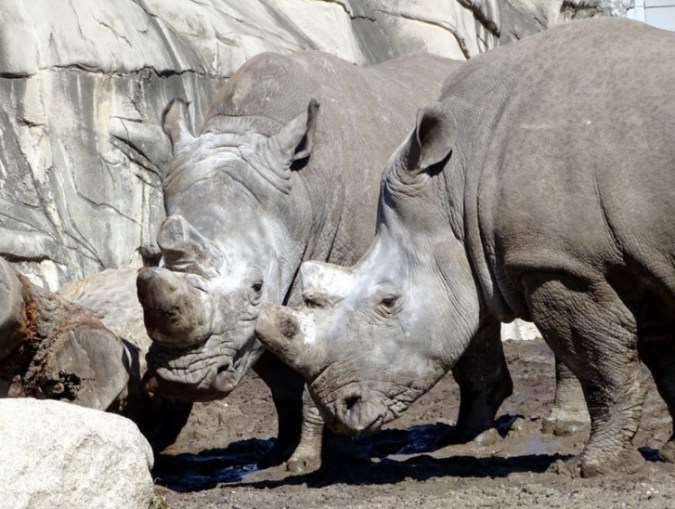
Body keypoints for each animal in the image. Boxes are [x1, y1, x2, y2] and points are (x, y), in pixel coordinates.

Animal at [136, 52, 513, 471]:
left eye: (256, 288)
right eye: (148, 271)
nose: (180, 380)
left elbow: (319, 367)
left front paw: (305, 461)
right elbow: (281, 379)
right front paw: (280, 451)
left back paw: (474, 441)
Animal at [255, 18, 675, 477]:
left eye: (388, 302)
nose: (340, 409)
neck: (458, 183)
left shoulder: (558, 263)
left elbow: (604, 365)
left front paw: (596, 467)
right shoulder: (634, 259)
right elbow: (664, 362)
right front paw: (670, 455)